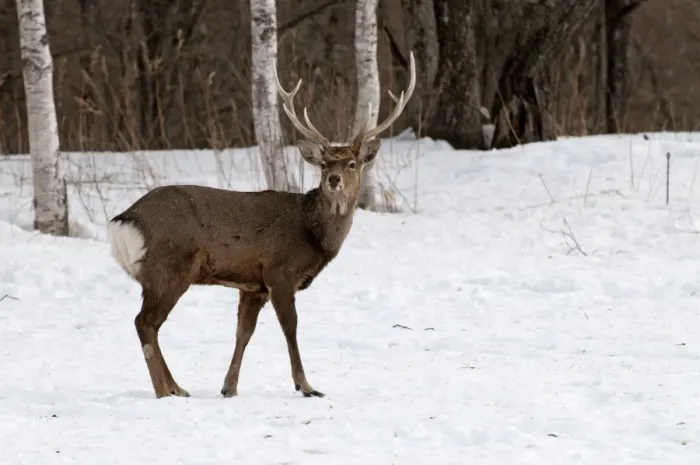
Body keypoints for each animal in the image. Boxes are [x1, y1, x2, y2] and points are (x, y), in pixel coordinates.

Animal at [106, 52, 416, 399]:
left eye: (352, 163)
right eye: (324, 164)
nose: (333, 180)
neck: (312, 232)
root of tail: (124, 220)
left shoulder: (252, 285)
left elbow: (244, 332)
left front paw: (229, 387)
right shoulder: (279, 271)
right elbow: (290, 328)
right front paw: (306, 385)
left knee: (150, 323)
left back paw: (178, 387)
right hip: (169, 267)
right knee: (145, 322)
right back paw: (164, 391)